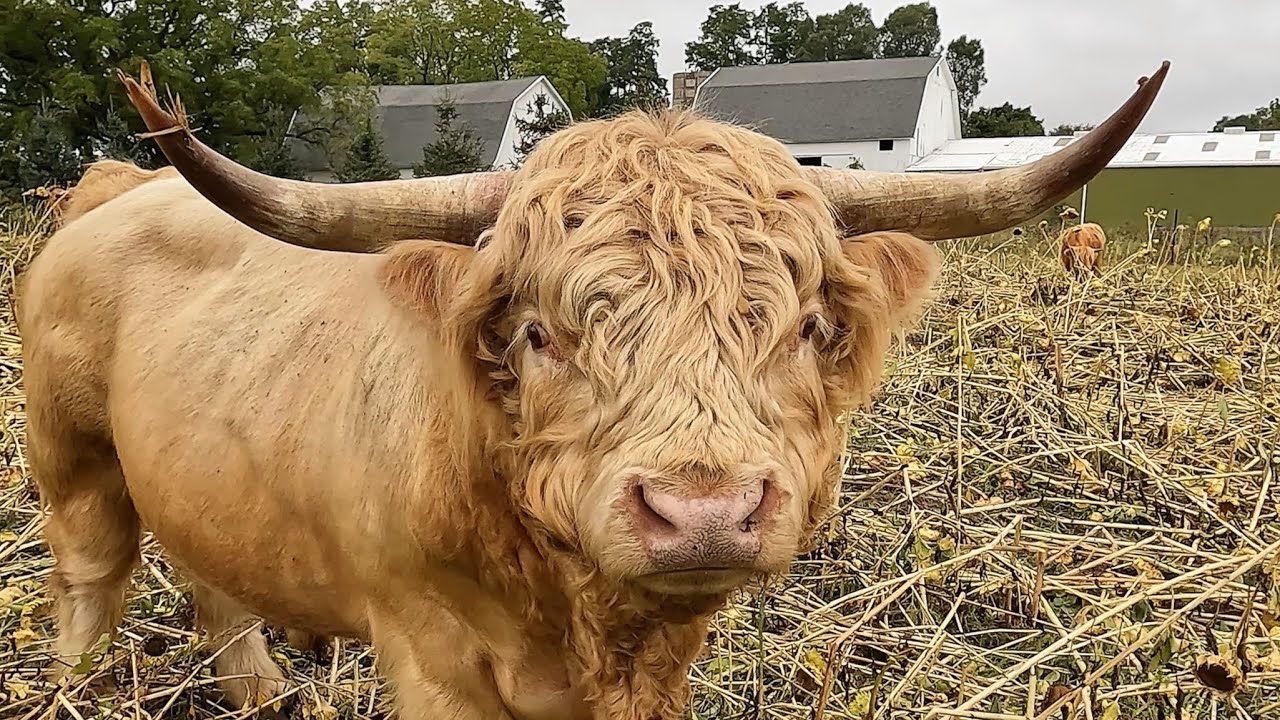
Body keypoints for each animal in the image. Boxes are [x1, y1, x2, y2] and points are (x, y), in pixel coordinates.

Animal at [14, 60, 1168, 719]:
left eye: (805, 327)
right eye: (539, 333)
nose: (702, 512)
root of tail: (119, 188)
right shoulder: (429, 657)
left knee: (212, 579)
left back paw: (257, 693)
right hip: (69, 457)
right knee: (89, 580)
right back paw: (76, 692)